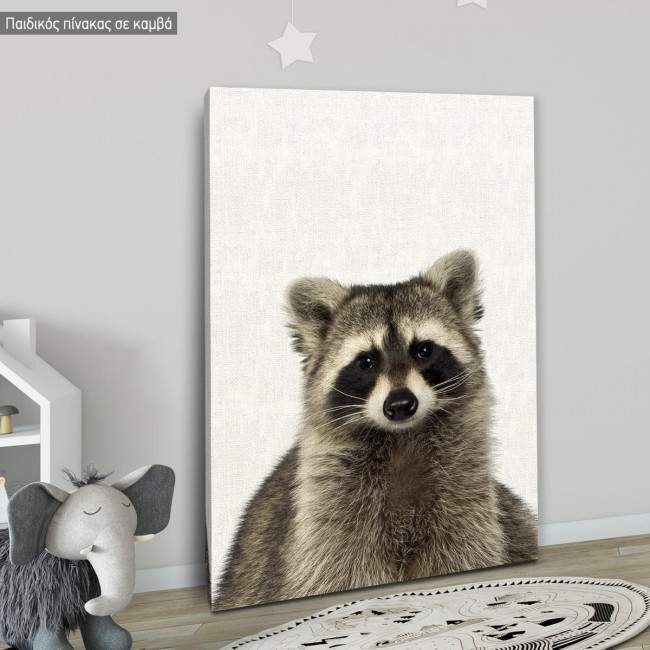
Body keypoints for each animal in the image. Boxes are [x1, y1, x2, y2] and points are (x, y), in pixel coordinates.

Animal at [215, 249, 537, 611]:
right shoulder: (327, 523)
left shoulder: (466, 505)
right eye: (366, 361)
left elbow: (465, 549)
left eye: (424, 350)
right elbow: (338, 568)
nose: (400, 404)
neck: (402, 440)